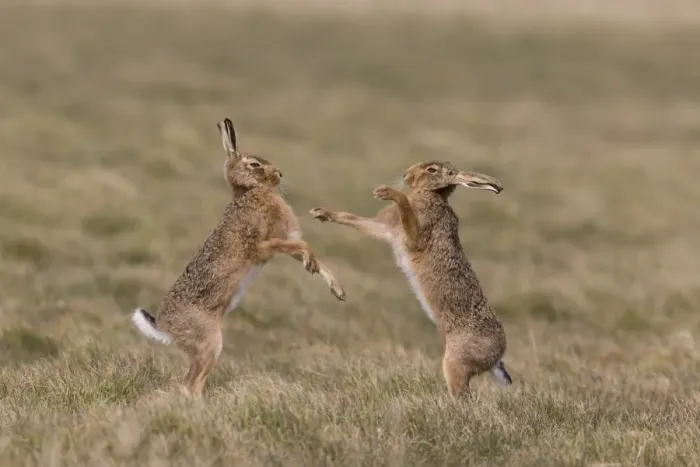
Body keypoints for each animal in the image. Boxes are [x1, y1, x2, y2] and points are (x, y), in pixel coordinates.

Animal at [131, 118, 346, 397]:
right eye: (255, 164)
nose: (280, 174)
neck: (249, 191)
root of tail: (164, 327)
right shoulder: (261, 246)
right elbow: (301, 244)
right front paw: (312, 264)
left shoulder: (280, 243)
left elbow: (306, 251)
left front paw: (336, 288)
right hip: (209, 342)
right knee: (190, 383)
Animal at [309, 160, 511, 399]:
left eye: (432, 170)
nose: (406, 175)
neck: (431, 194)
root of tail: (498, 354)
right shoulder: (387, 228)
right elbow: (355, 219)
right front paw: (321, 213)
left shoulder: (415, 236)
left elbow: (406, 211)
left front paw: (386, 192)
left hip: (456, 362)